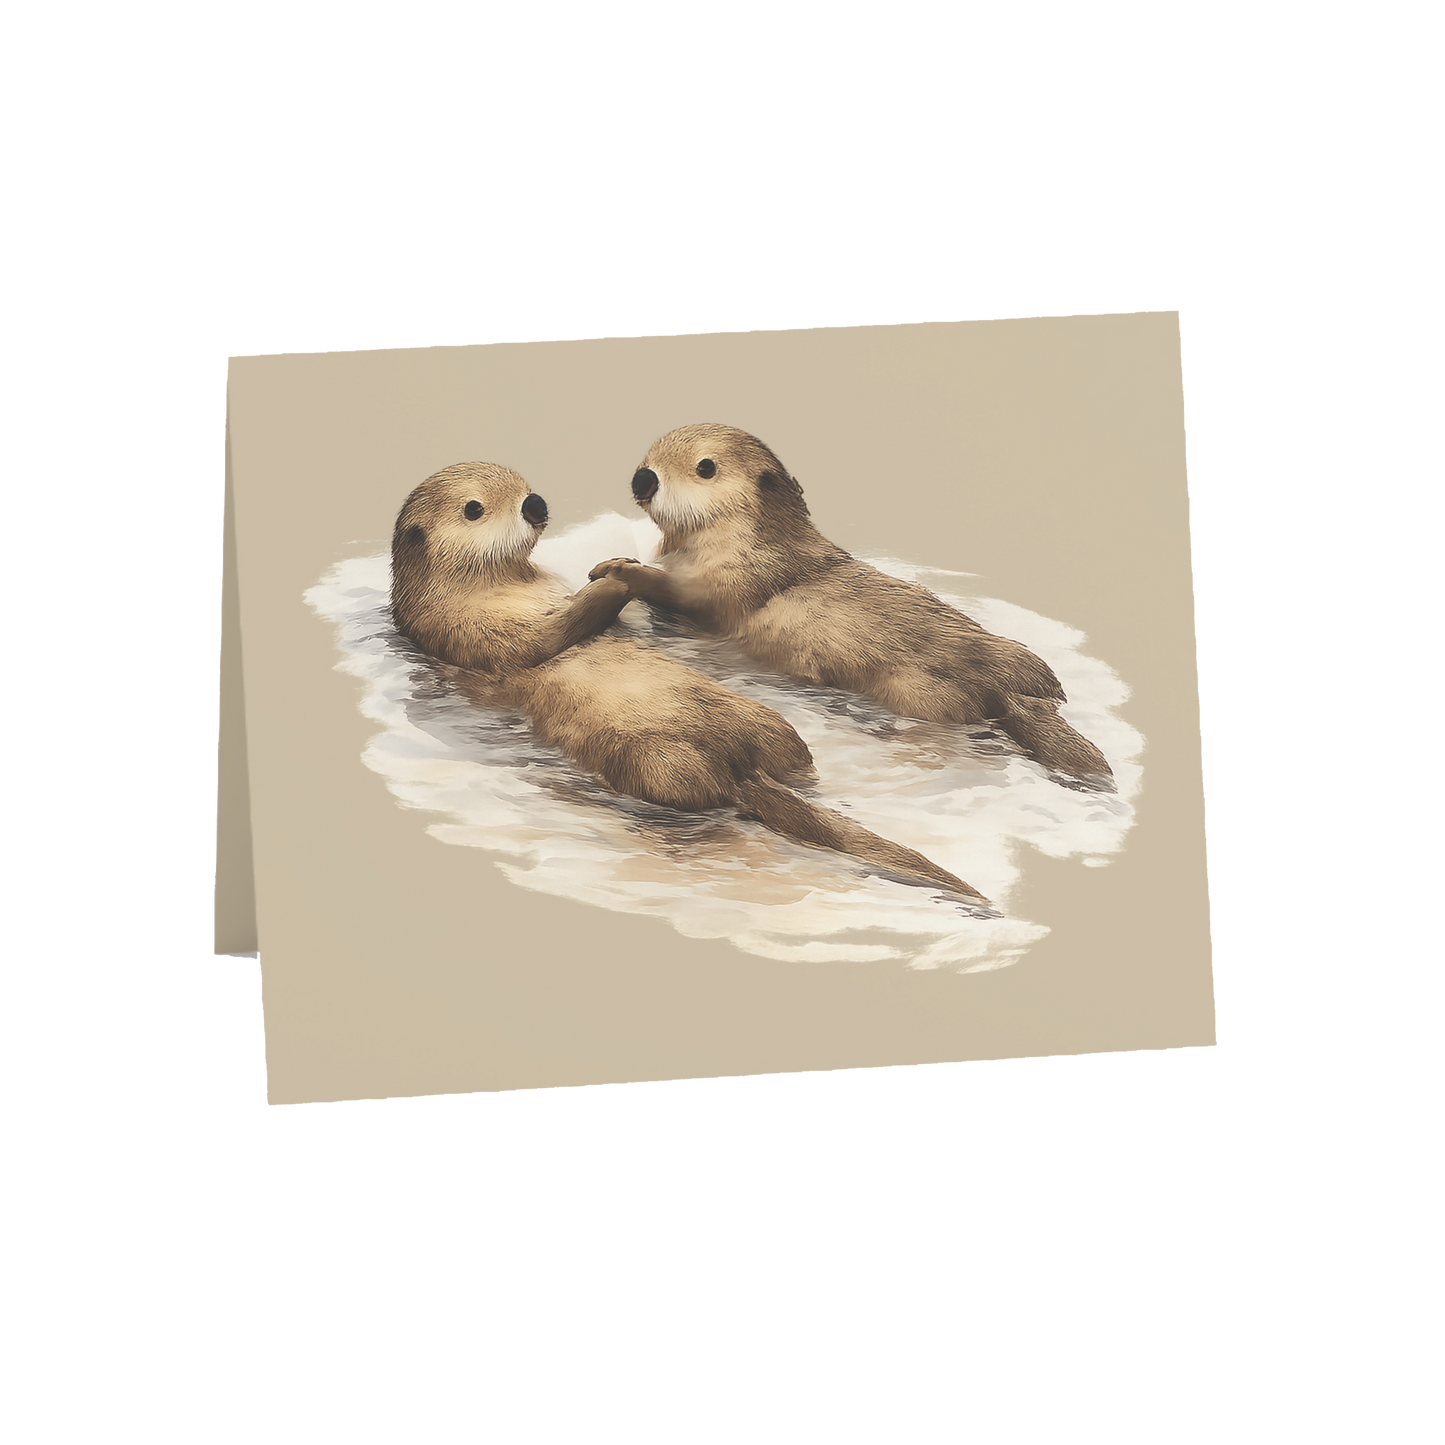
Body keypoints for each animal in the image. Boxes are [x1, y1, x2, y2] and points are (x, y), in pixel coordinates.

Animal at [390, 461, 992, 903]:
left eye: (522, 485)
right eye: (474, 508)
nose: (533, 505)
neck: (511, 584)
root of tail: (737, 765)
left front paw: (615, 569)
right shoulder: (460, 631)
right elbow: (539, 640)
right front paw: (612, 581)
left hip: (763, 720)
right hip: (657, 759)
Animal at [588, 424, 1113, 787]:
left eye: (705, 466)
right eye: (651, 453)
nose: (644, 478)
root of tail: (1009, 691)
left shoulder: (728, 586)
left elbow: (681, 595)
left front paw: (616, 566)